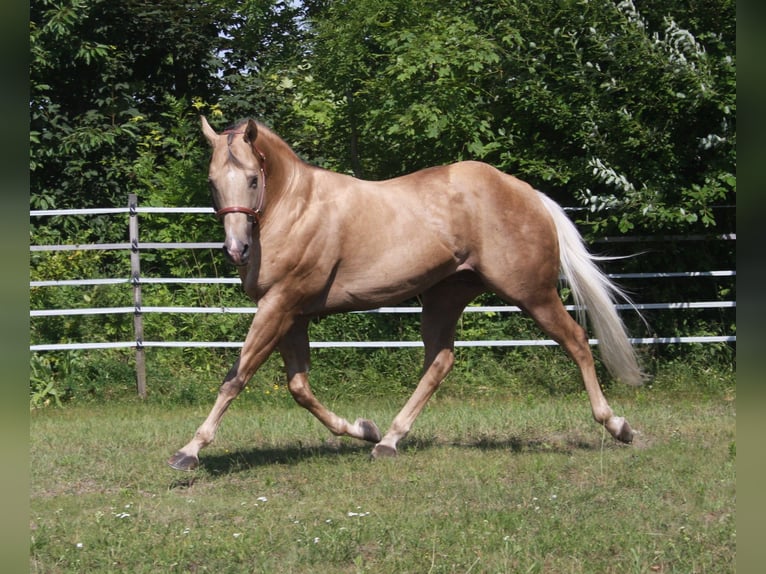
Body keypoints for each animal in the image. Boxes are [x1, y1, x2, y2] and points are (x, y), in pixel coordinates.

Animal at [167, 117, 643, 471]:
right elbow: (299, 388)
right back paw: (389, 441)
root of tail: (529, 194)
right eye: (212, 182)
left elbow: (236, 378)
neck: (296, 207)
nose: (236, 250)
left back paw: (618, 426)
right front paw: (364, 429)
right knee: (439, 362)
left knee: (576, 341)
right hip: (444, 298)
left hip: (533, 292)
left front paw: (189, 451)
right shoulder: (292, 314)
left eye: (252, 179)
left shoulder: (279, 306)